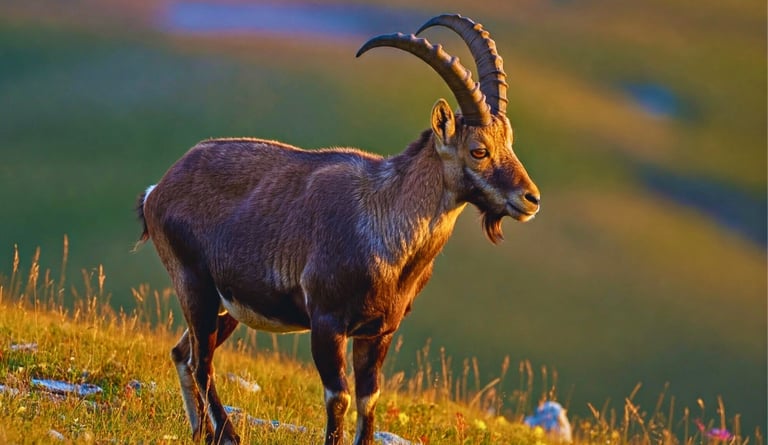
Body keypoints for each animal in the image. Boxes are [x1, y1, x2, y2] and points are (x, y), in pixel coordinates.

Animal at [135, 14, 540, 445]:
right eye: (478, 150)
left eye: (510, 142)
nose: (530, 198)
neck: (386, 229)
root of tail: (158, 189)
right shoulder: (327, 321)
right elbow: (339, 397)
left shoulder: (378, 331)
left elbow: (368, 399)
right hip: (193, 283)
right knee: (202, 362)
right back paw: (227, 434)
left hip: (227, 305)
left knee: (185, 353)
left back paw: (202, 432)